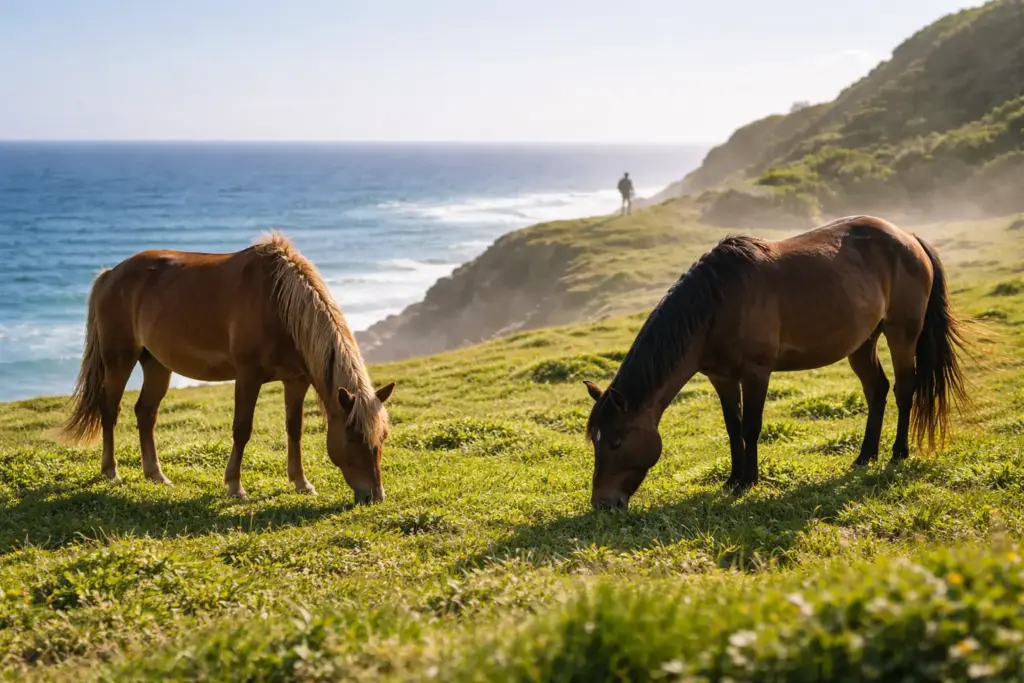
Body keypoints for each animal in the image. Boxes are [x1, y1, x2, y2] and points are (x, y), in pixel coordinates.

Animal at [62, 232, 396, 504]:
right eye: (351, 437)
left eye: (382, 438)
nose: (374, 497)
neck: (278, 303)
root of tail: (110, 274)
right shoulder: (248, 376)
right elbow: (242, 429)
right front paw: (235, 487)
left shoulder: (296, 380)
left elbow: (295, 429)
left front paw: (301, 483)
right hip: (119, 359)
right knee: (110, 410)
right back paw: (111, 472)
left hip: (156, 364)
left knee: (146, 413)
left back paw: (156, 475)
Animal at [583, 215, 969, 509]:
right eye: (596, 441)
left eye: (616, 442)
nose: (602, 503)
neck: (717, 304)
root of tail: (908, 237)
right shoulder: (721, 377)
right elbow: (733, 427)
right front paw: (733, 479)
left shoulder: (757, 372)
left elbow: (752, 427)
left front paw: (749, 481)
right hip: (863, 343)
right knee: (878, 390)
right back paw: (864, 456)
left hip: (902, 333)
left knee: (905, 389)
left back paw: (898, 453)